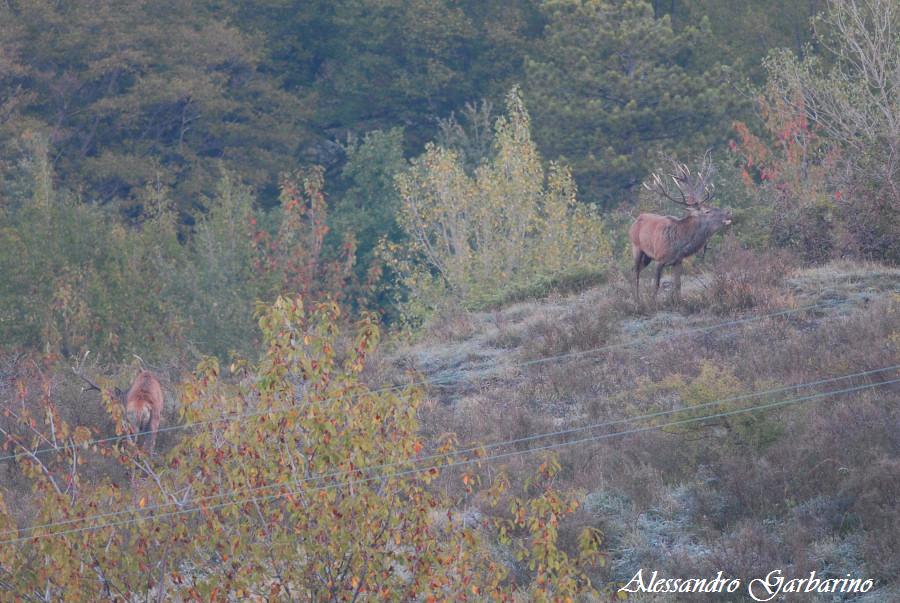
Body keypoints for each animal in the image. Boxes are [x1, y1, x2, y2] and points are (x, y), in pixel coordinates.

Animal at [632, 156, 732, 306]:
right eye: (707, 211)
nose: (727, 213)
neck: (679, 243)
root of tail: (636, 219)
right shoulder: (659, 259)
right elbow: (656, 285)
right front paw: (652, 303)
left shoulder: (678, 261)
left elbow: (678, 285)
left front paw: (679, 302)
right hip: (636, 247)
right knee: (635, 273)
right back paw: (636, 300)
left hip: (647, 257)